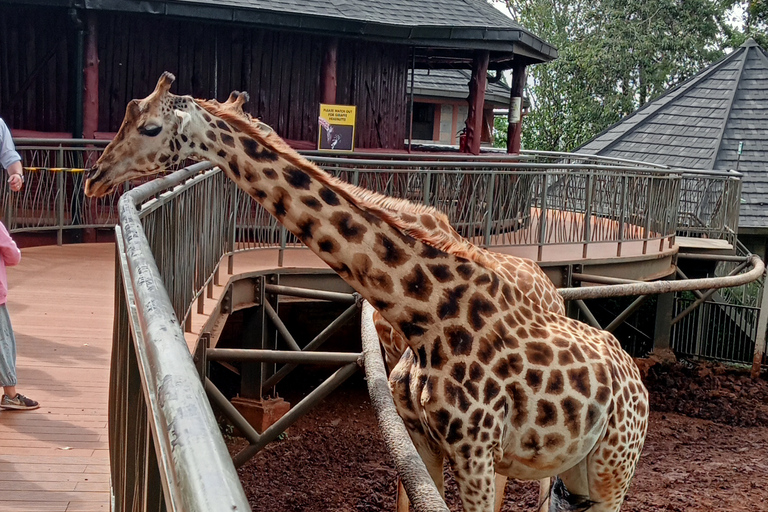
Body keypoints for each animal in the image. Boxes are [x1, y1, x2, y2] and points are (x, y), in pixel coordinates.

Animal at [85, 73, 648, 512]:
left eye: (151, 126)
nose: (94, 176)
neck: (428, 317)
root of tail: (633, 375)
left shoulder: (478, 452)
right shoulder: (424, 438)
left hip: (613, 470)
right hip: (572, 466)